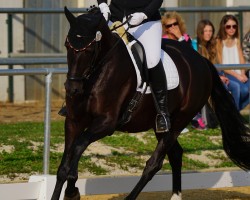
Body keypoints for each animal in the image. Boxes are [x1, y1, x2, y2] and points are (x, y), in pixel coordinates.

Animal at [50, 6, 250, 200]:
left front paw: (72, 191)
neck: (97, 73)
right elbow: (64, 166)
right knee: (175, 154)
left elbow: (78, 146)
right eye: (67, 45)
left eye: (90, 49)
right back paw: (175, 196)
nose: (72, 89)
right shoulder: (74, 121)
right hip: (161, 127)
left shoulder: (106, 123)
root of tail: (201, 60)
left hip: (179, 121)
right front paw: (69, 188)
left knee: (153, 164)